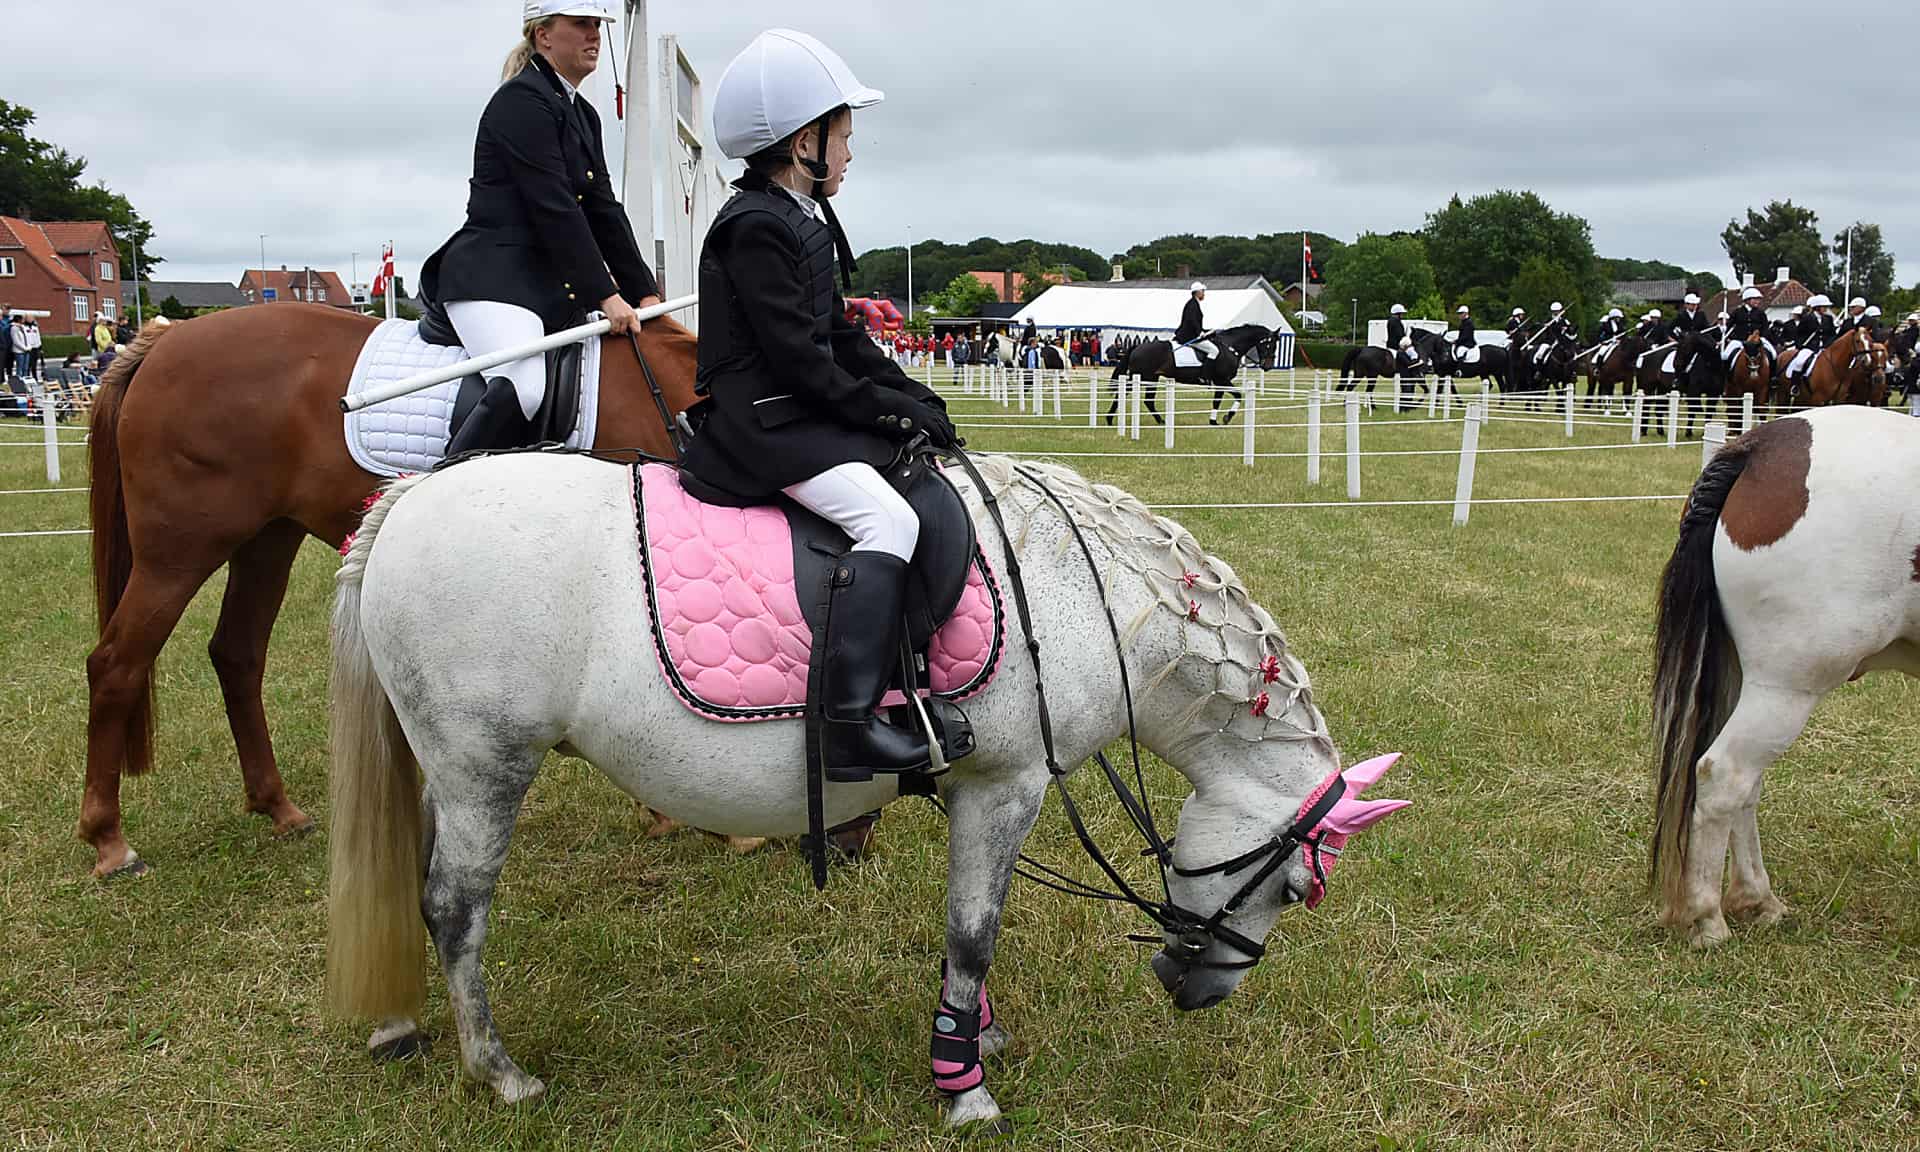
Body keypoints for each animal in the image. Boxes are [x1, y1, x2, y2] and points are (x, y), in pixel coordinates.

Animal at [84, 303, 698, 871]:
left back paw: (278, 807)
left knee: (237, 655)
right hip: (177, 554)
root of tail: (164, 341)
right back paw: (109, 840)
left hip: (267, 540)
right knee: (116, 664)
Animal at [322, 449, 1413, 1121]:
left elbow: (969, 933)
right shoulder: (1005, 787)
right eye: (1293, 888)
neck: (1093, 601)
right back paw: (498, 1073)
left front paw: (976, 1036)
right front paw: (963, 1086)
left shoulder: (979, 790)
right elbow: (974, 932)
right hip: (485, 767)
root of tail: (411, 497)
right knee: (456, 909)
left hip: (448, 773)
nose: (1198, 991)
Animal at [1105, 324, 1282, 428]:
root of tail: (1137, 347)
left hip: (1148, 378)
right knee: (1139, 399)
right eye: (1270, 344)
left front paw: (1214, 420)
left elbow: (1218, 400)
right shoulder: (1222, 380)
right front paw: (1225, 418)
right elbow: (1237, 395)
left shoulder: (1220, 382)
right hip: (1145, 378)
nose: (1268, 366)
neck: (1230, 347)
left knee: (1139, 399)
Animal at [1651, 405, 1920, 944]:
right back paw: (1707, 917)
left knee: (1743, 786)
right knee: (1725, 776)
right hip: (1786, 688)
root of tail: (1760, 446)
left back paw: (1757, 900)